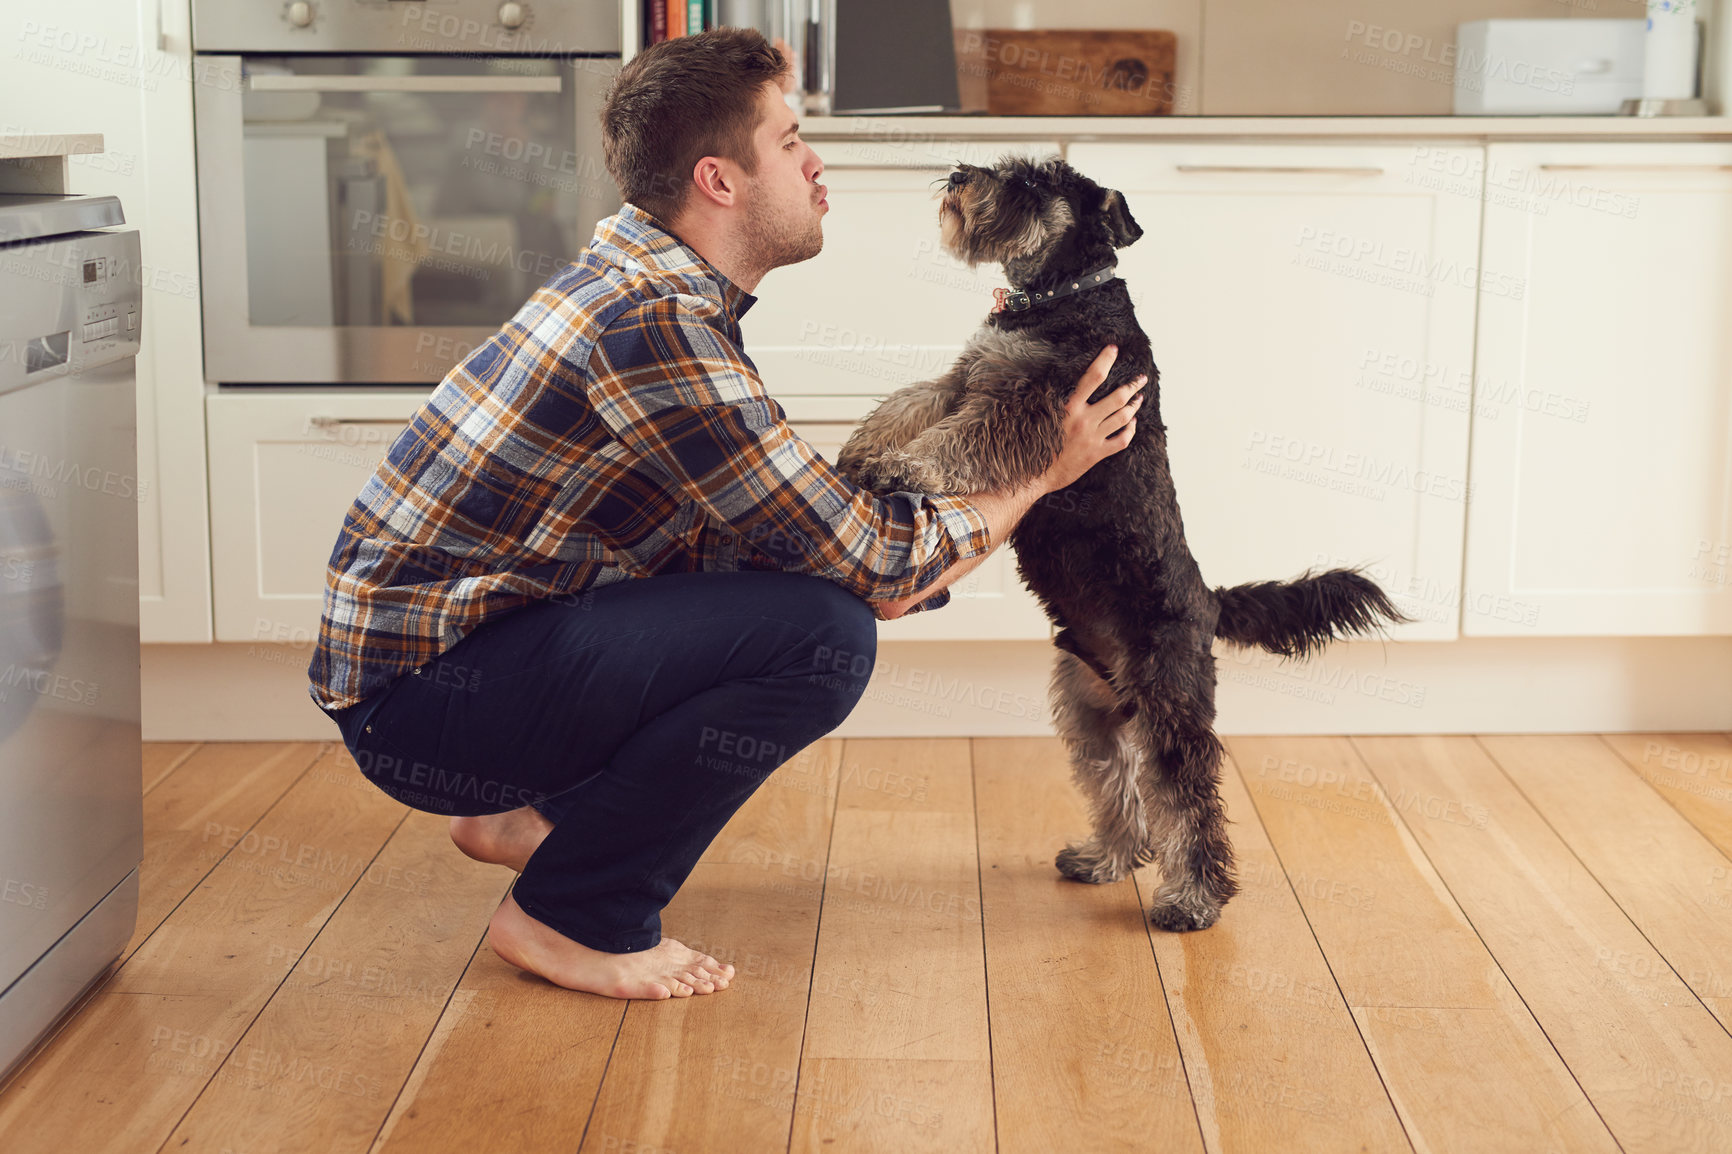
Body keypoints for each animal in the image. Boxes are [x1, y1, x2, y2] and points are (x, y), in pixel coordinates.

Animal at [831, 152, 1413, 928]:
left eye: (1033, 180)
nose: (958, 174)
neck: (1057, 296)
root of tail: (1208, 602)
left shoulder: (1028, 408)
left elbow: (957, 441)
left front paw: (901, 467)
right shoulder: (969, 377)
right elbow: (909, 402)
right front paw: (863, 451)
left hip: (1169, 706)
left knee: (1190, 800)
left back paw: (1193, 899)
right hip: (1090, 713)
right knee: (1123, 789)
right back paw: (1105, 858)